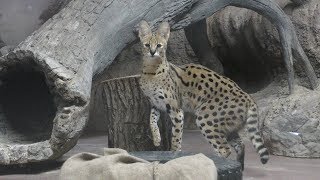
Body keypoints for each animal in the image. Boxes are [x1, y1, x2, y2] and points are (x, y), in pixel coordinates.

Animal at [137, 21, 268, 169]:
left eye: (159, 45)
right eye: (147, 45)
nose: (152, 52)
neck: (151, 72)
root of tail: (248, 97)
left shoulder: (176, 110)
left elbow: (176, 138)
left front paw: (173, 155)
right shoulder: (156, 104)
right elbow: (151, 120)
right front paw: (156, 138)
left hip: (205, 119)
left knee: (224, 149)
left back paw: (215, 165)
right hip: (227, 125)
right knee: (240, 145)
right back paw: (239, 166)